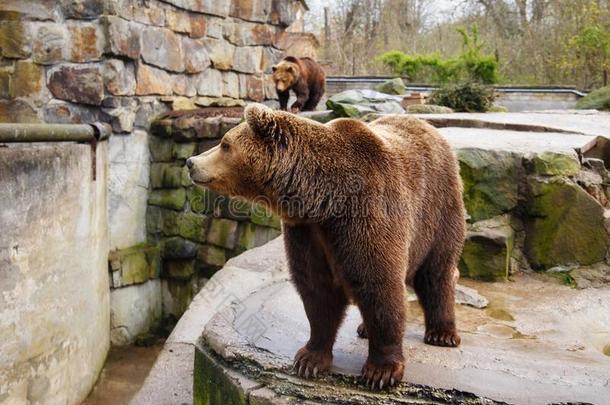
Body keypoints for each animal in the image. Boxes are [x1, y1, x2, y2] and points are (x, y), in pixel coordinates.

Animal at [185, 103, 460, 388]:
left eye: (225, 144)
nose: (190, 162)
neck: (325, 199)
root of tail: (428, 126)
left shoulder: (367, 213)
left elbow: (378, 283)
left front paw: (380, 371)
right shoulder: (307, 232)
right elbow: (317, 291)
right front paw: (309, 359)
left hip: (438, 206)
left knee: (436, 270)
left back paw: (442, 332)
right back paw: (364, 328)